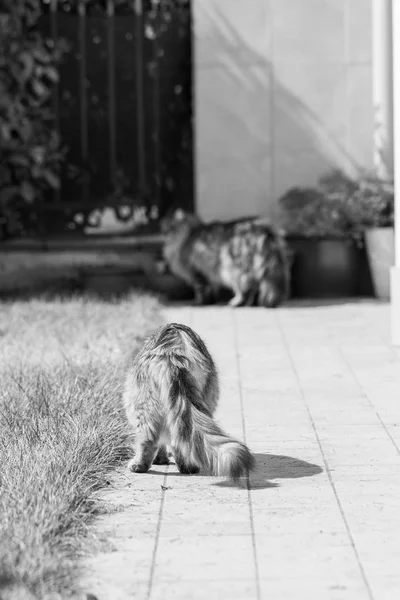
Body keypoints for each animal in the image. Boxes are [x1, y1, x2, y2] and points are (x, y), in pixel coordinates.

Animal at [123, 322, 255, 480]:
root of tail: (172, 353)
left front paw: (160, 458)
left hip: (141, 402)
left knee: (149, 438)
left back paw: (140, 465)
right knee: (183, 438)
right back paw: (187, 466)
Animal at [159, 209, 290, 308]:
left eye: (172, 227)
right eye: (163, 227)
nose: (165, 233)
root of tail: (260, 228)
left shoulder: (196, 272)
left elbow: (201, 291)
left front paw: (199, 303)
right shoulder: (208, 274)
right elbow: (211, 290)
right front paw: (211, 302)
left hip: (234, 268)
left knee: (246, 289)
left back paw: (236, 303)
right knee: (255, 287)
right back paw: (251, 304)